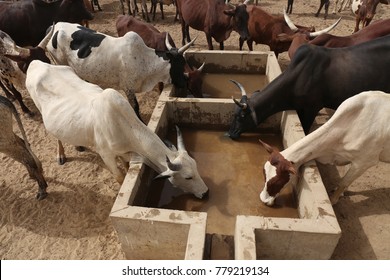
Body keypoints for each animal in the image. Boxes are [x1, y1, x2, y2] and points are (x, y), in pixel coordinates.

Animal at [258, 91, 390, 206]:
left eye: (277, 181)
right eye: (264, 175)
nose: (263, 200)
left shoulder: (365, 161)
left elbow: (344, 181)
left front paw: (333, 200)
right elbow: (345, 177)